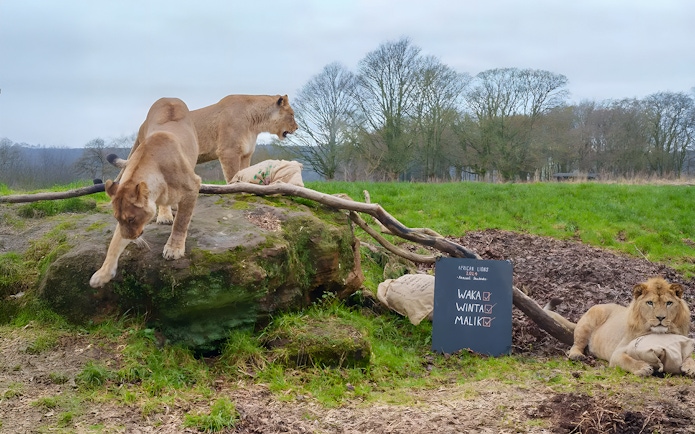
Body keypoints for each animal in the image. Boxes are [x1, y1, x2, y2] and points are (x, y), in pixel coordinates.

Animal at [89, 97, 201, 288]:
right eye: (117, 219)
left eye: (132, 219)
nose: (129, 237)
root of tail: (169, 97)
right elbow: (114, 244)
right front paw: (102, 274)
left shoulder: (193, 186)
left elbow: (181, 222)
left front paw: (174, 249)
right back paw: (164, 215)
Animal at [109, 94, 298, 224]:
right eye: (292, 114)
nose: (297, 128)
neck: (255, 122)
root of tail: (141, 126)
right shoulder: (228, 151)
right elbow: (233, 174)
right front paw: (237, 190)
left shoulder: (245, 153)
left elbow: (244, 172)